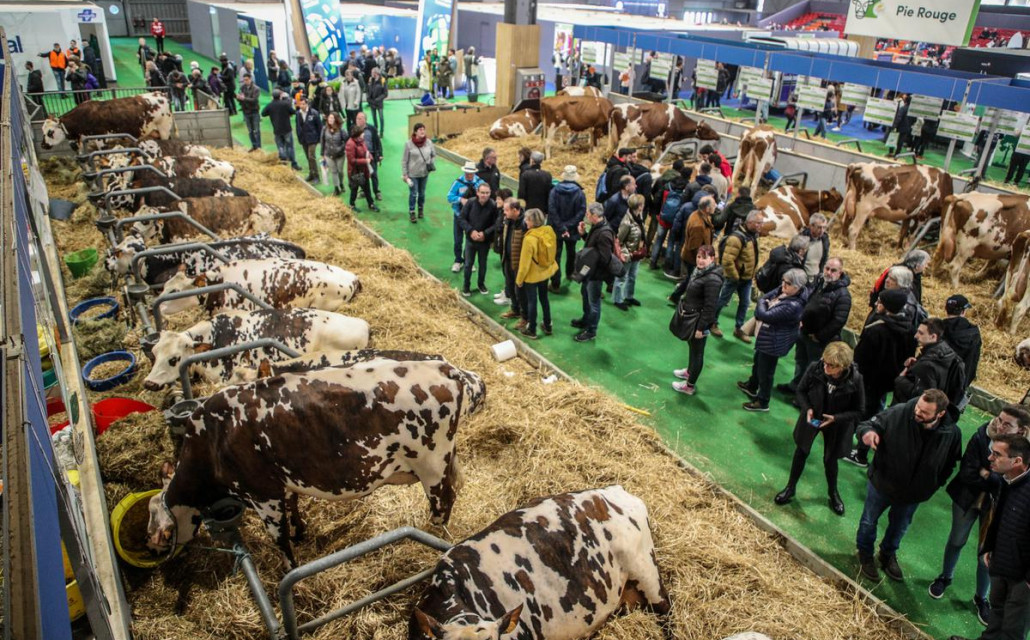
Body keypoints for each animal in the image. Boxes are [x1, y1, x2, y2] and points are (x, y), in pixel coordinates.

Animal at [146, 359, 486, 566]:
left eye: (159, 532)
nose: (152, 550)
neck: (213, 437)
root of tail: (444, 367)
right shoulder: (282, 481)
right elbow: (293, 505)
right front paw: (301, 531)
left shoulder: (262, 493)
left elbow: (278, 537)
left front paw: (290, 566)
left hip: (432, 465)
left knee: (443, 502)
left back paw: (434, 532)